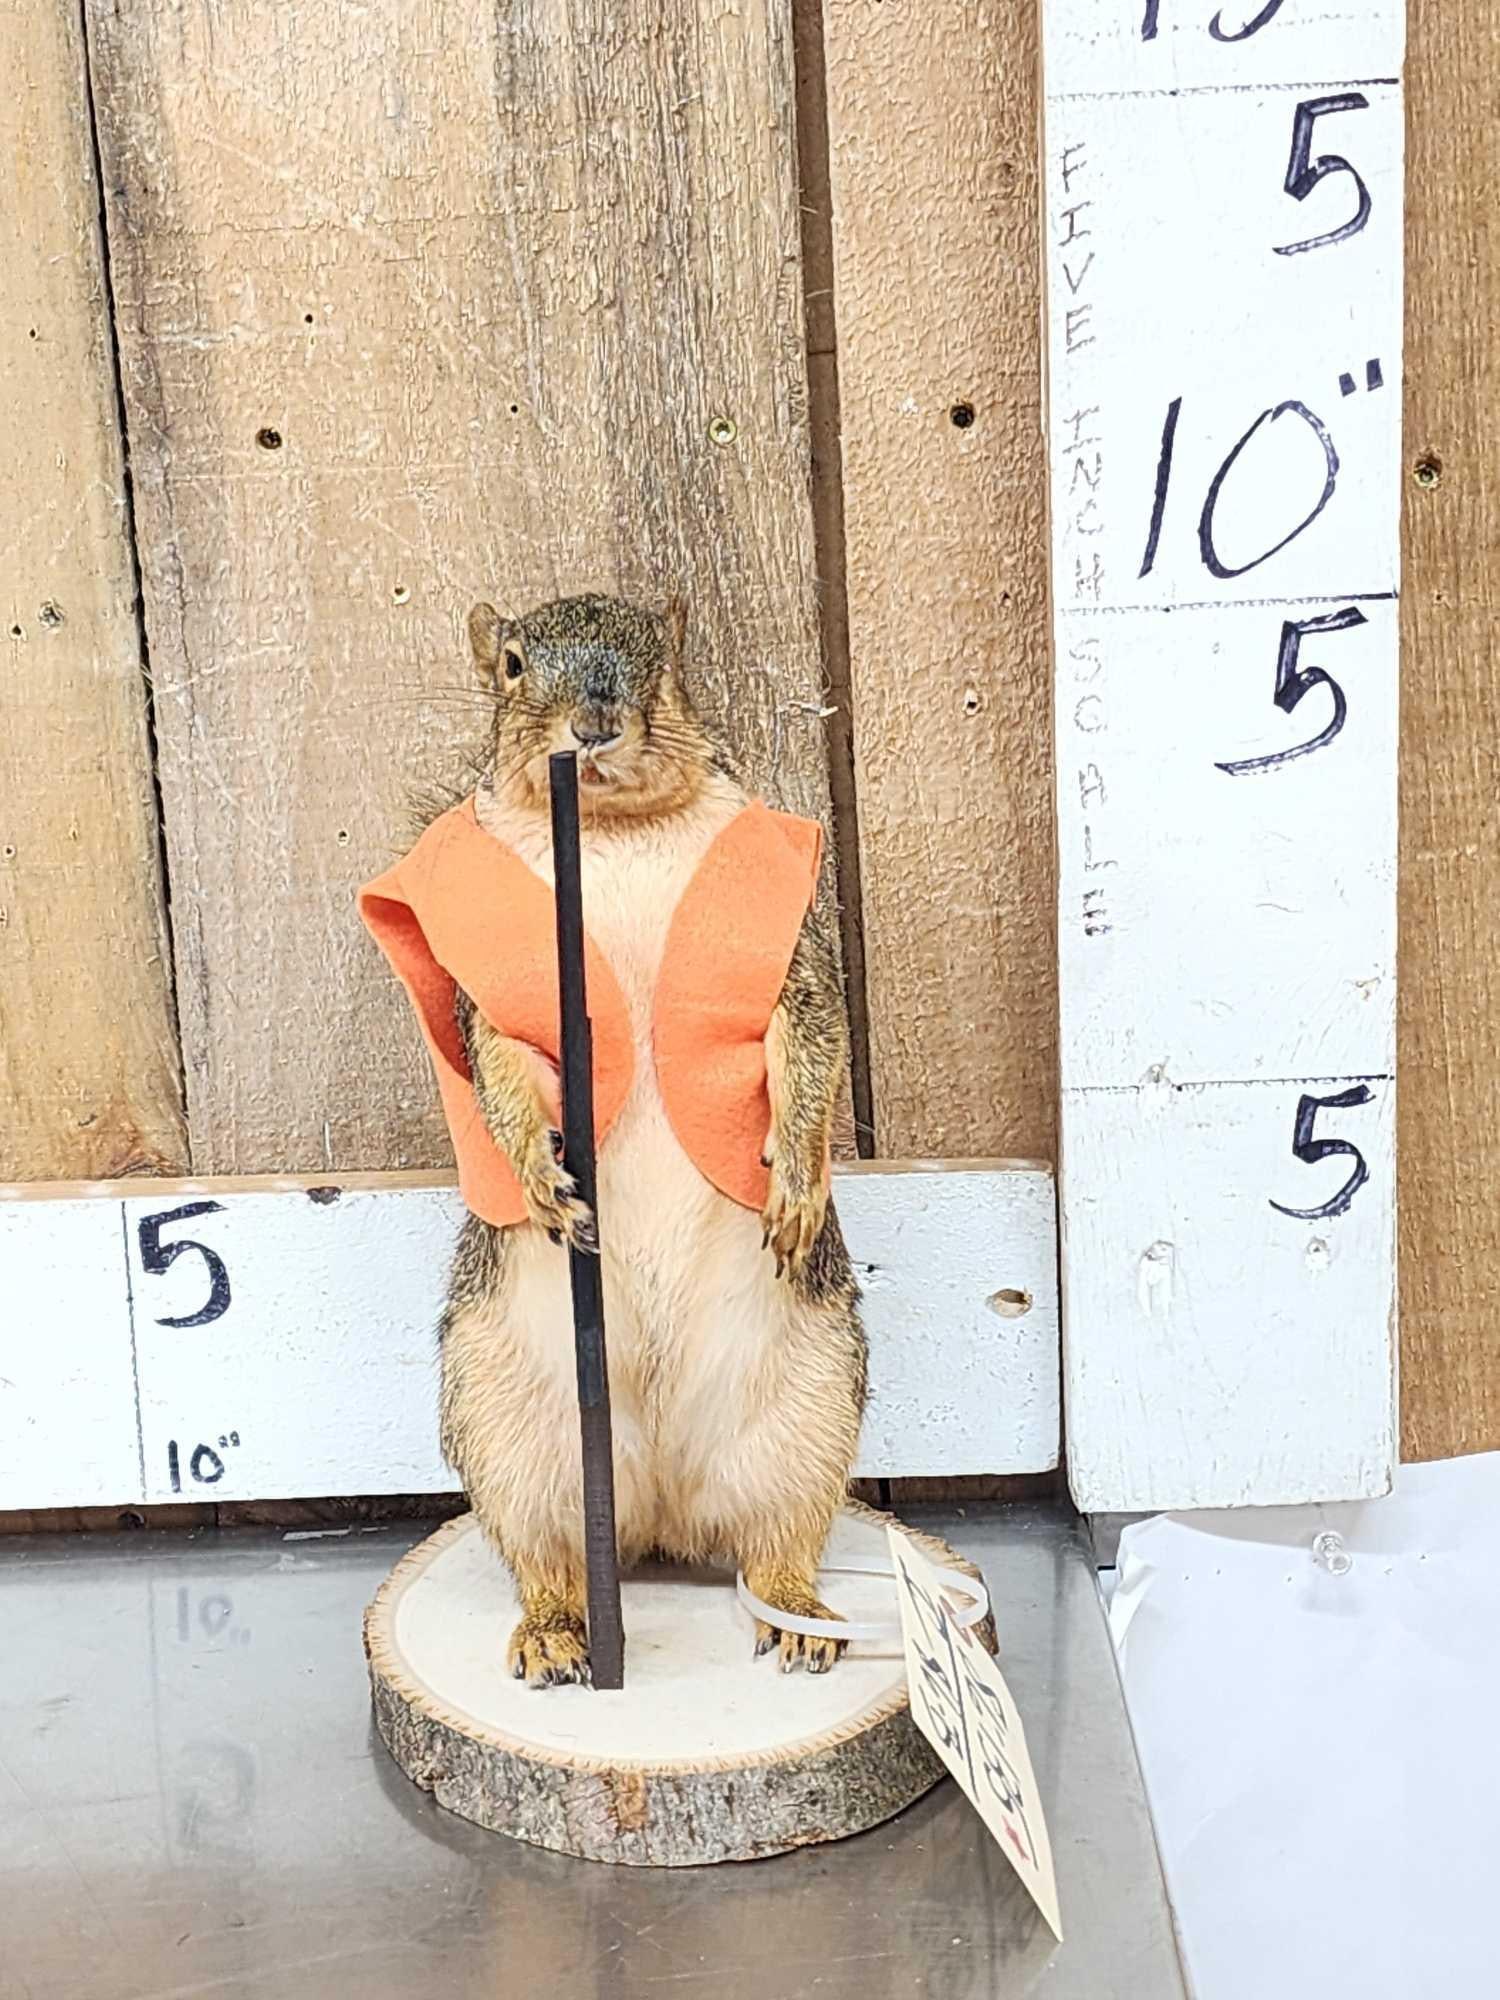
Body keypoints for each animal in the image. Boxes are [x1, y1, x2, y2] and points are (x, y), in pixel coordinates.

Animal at [430, 592, 867, 1685]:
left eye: (662, 661)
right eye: (511, 664)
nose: (592, 725)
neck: (612, 836)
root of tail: (662, 1509)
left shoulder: (786, 940)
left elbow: (810, 1030)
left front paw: (799, 1181)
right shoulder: (494, 981)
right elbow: (497, 1061)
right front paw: (538, 1176)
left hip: (811, 1413)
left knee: (778, 1544)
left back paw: (800, 1615)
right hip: (506, 1434)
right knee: (546, 1557)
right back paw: (556, 1628)